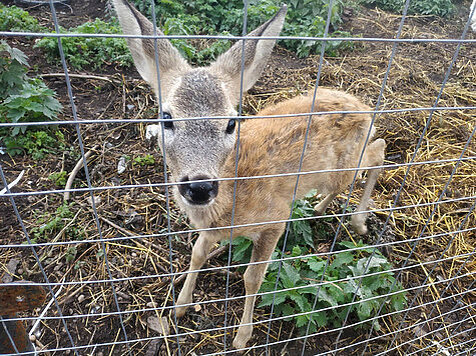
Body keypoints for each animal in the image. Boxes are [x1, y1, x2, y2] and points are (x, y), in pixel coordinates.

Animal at [113, 0, 384, 350]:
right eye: (166, 118)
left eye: (231, 122)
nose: (199, 187)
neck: (230, 199)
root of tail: (365, 107)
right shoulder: (210, 230)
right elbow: (197, 254)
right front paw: (179, 307)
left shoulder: (275, 218)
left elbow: (252, 278)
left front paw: (242, 337)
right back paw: (319, 208)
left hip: (344, 164)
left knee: (378, 152)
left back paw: (358, 221)